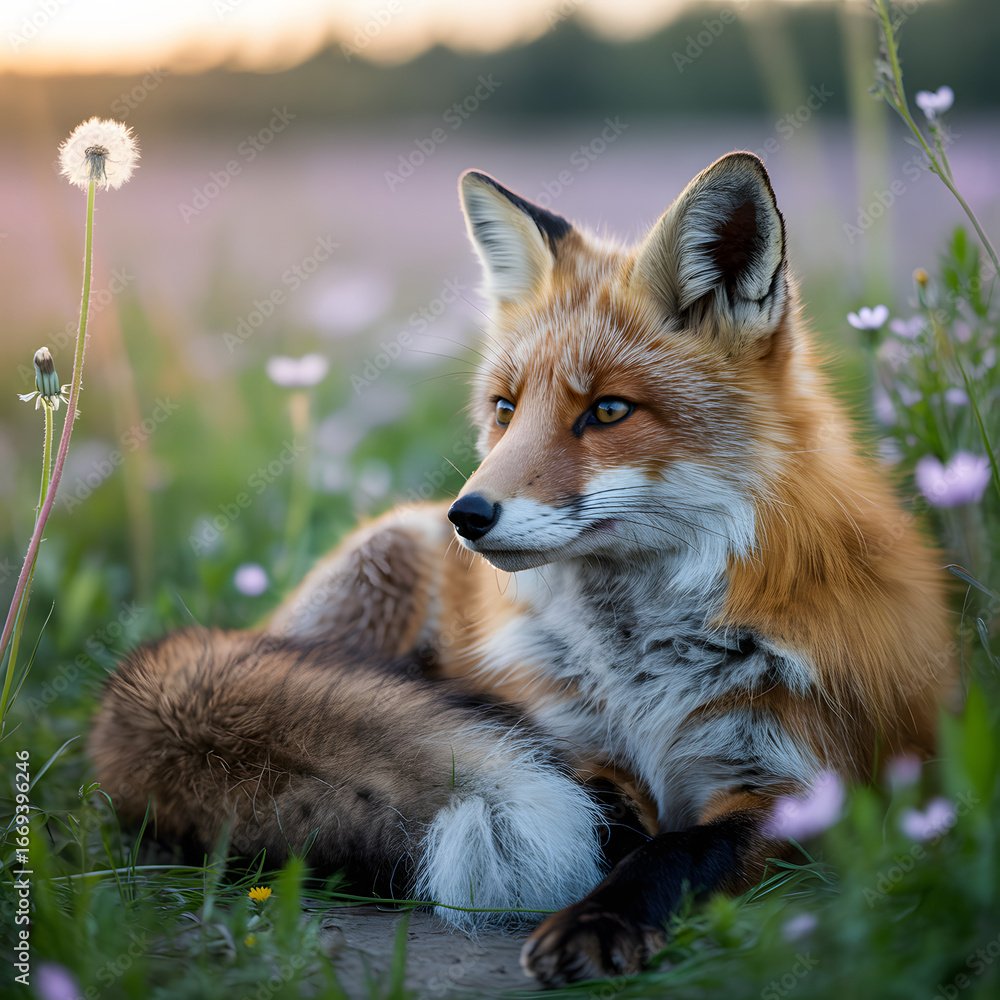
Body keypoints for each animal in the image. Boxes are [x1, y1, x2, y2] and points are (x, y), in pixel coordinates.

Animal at [91, 152, 954, 987]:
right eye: (506, 409)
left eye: (608, 410)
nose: (467, 515)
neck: (639, 669)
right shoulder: (565, 737)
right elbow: (603, 812)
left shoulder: (801, 784)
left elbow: (676, 850)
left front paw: (601, 919)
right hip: (382, 569)